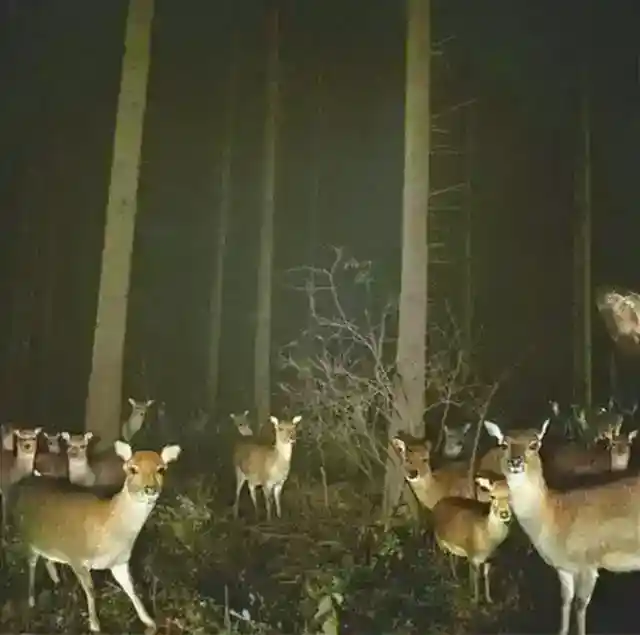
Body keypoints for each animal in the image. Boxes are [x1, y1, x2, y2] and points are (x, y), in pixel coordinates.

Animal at [11, 440, 181, 634]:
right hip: (26, 536)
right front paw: (95, 624)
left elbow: (131, 587)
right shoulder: (77, 557)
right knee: (31, 563)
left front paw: (149, 621)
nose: (150, 489)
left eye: (161, 469)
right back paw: (31, 599)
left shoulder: (120, 562)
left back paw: (56, 580)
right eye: (133, 469)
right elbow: (91, 590)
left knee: (48, 558)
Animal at [432, 475, 512, 604]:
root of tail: (436, 504)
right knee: (442, 554)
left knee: (451, 555)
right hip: (439, 538)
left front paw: (489, 599)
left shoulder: (489, 558)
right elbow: (477, 578)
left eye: (511, 495)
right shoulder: (473, 556)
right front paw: (475, 600)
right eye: (492, 496)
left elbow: (486, 576)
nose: (504, 513)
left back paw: (455, 576)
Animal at [484, 417, 640, 635]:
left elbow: (580, 606)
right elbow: (565, 602)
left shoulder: (589, 562)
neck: (554, 520)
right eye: (503, 444)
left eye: (534, 444)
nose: (515, 462)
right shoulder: (563, 568)